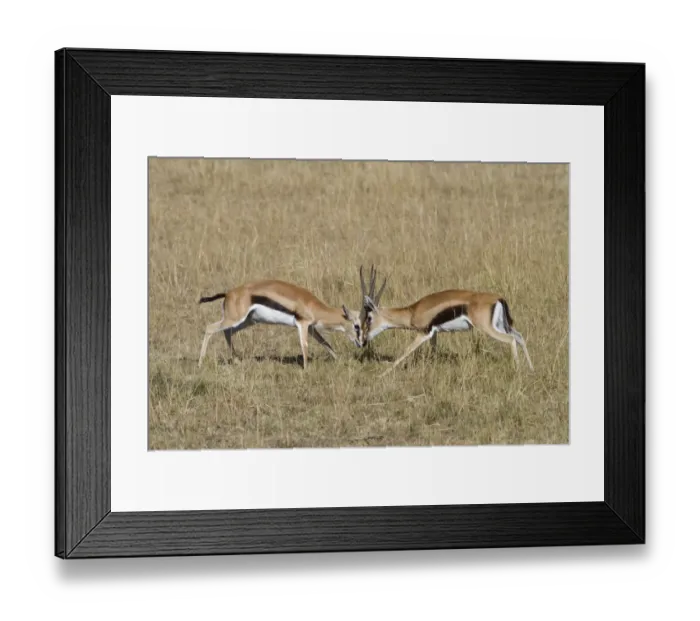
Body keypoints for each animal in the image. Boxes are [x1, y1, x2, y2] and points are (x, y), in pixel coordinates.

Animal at [197, 279, 364, 369]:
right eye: (356, 326)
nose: (361, 343)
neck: (313, 305)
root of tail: (229, 293)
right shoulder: (302, 324)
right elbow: (304, 345)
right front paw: (306, 369)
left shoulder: (310, 328)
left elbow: (325, 343)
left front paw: (340, 360)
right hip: (235, 319)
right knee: (210, 328)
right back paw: (200, 362)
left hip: (248, 320)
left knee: (228, 332)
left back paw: (237, 361)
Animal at [358, 267, 534, 377]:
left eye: (369, 318)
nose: (363, 341)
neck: (412, 311)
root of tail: (498, 298)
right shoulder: (434, 333)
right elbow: (433, 351)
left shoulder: (423, 333)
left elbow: (405, 351)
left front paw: (382, 374)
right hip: (501, 326)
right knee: (519, 336)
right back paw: (531, 369)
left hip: (488, 328)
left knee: (511, 339)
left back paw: (518, 371)